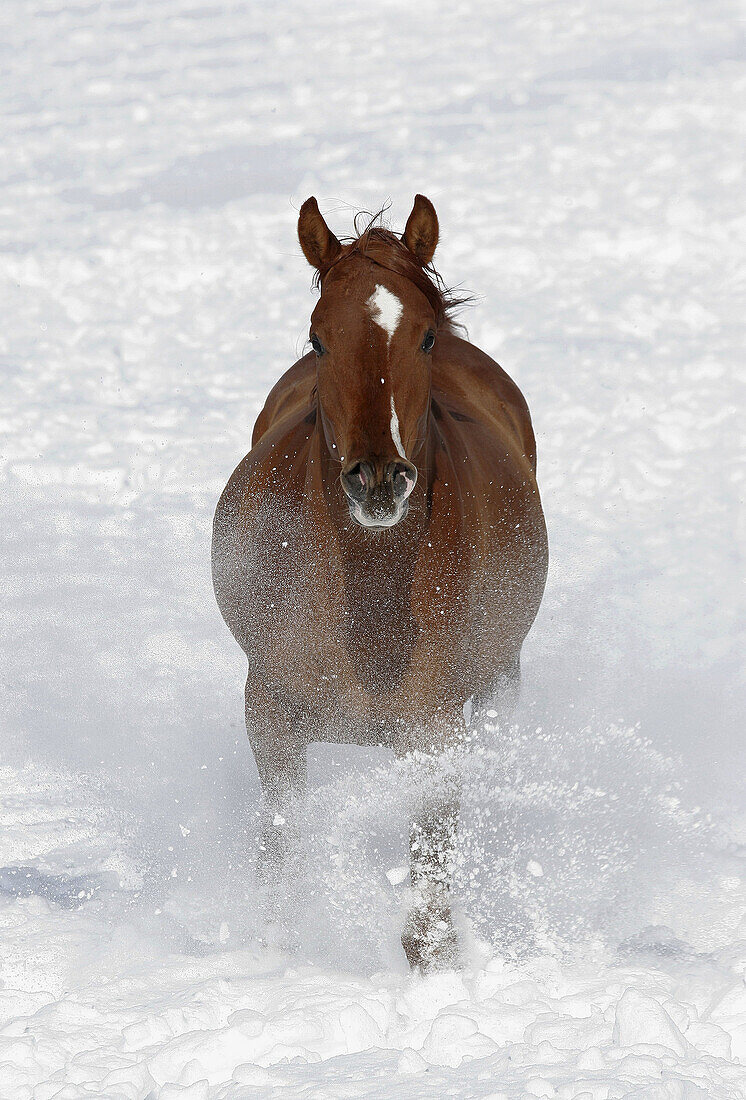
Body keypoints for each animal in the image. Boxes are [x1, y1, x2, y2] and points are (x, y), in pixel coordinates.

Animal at [212, 198, 550, 972]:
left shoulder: (435, 730)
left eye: (421, 337)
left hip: (501, 682)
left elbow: (428, 889)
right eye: (318, 339)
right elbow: (282, 852)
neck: (366, 590)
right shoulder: (270, 710)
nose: (377, 479)